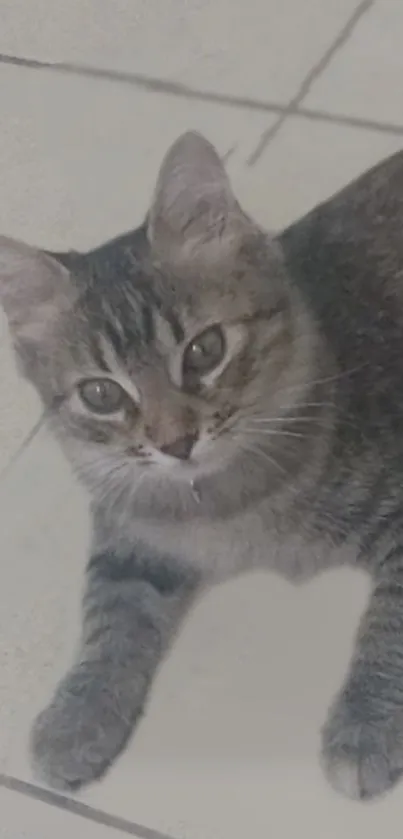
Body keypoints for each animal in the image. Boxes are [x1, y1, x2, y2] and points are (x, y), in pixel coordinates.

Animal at [0, 131, 403, 800]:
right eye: (101, 395)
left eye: (205, 350)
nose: (177, 441)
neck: (220, 504)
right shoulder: (128, 539)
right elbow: (106, 619)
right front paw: (76, 717)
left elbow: (390, 626)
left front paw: (364, 725)